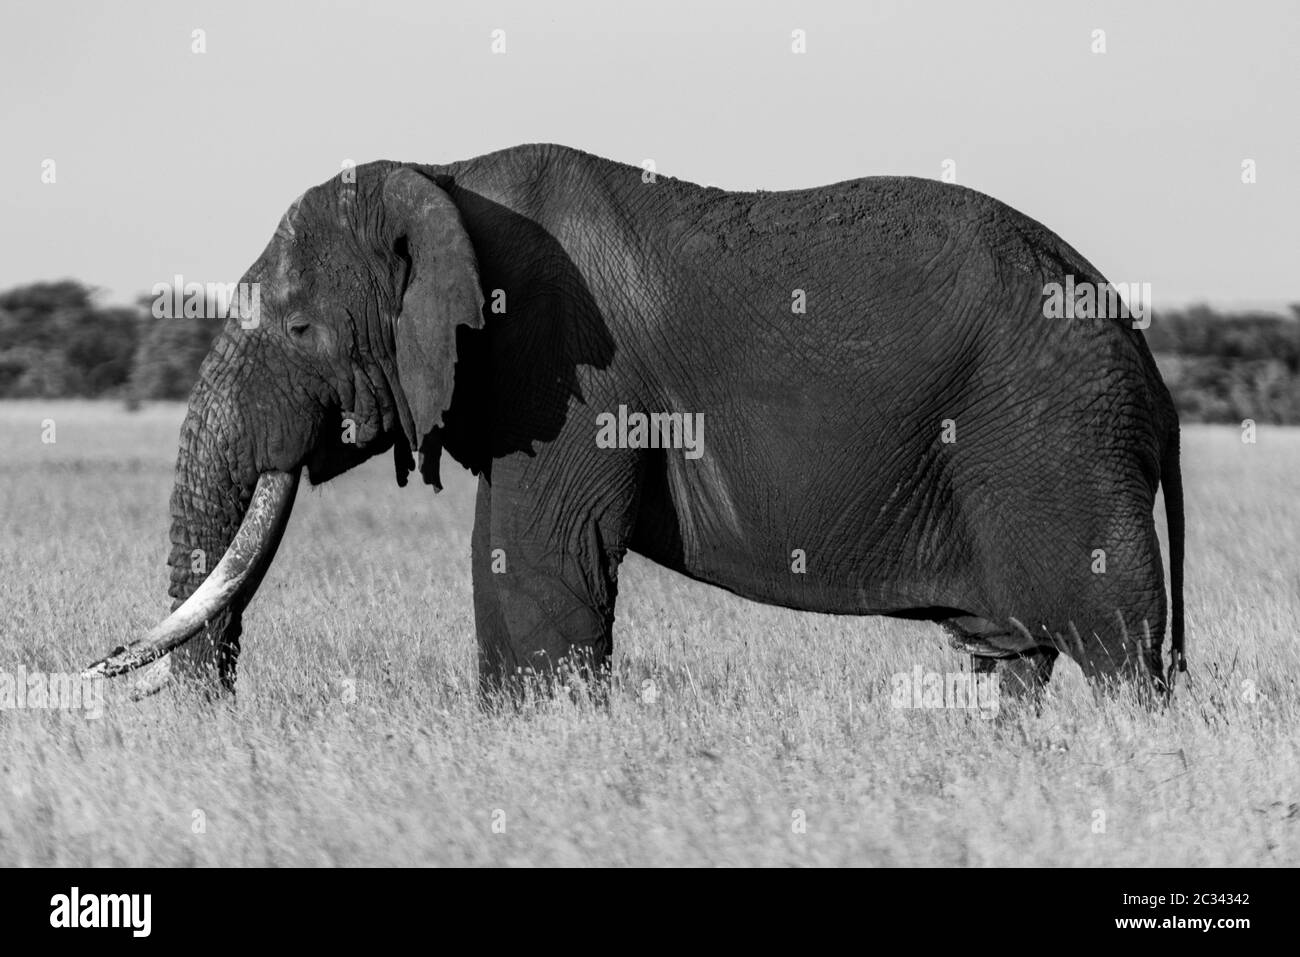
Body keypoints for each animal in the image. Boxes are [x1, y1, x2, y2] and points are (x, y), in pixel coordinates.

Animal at [85, 143, 1185, 701]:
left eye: (301, 327)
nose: (102, 668)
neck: (441, 177)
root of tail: (1145, 360)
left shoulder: (570, 369)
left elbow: (538, 558)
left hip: (1052, 436)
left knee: (1116, 643)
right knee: (1016, 659)